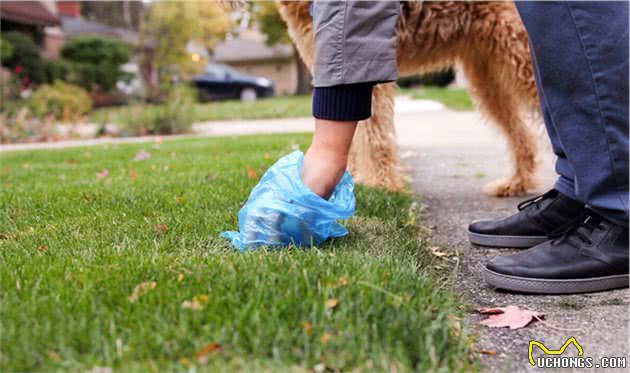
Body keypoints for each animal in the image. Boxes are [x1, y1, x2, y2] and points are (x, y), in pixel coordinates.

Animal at [278, 0, 544, 198]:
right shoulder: (336, 70)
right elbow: (353, 138)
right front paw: (352, 181)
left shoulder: (365, 65)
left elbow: (374, 136)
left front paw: (380, 185)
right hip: (487, 75)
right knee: (522, 134)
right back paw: (515, 183)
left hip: (520, 55)